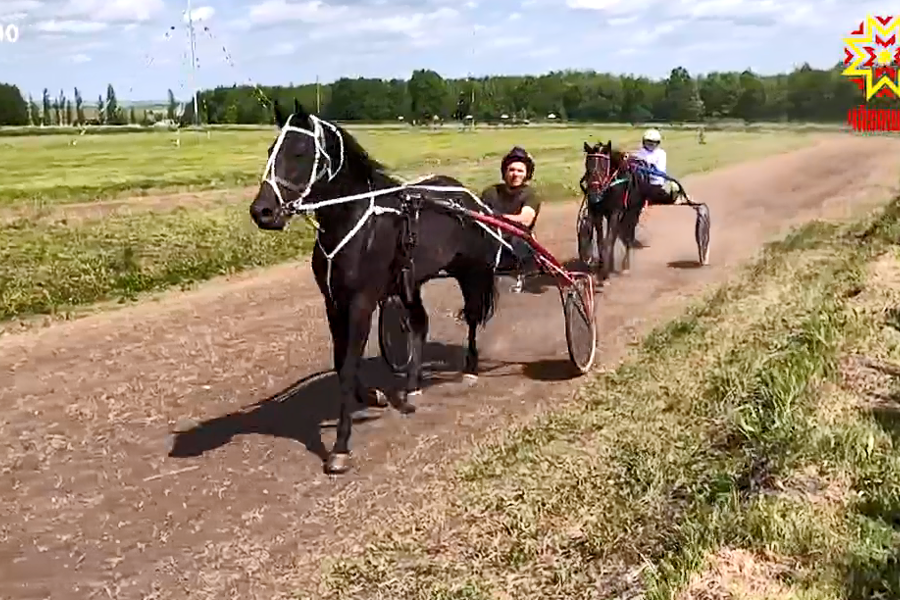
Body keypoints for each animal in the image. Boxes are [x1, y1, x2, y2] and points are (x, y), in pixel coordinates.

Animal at [250, 98, 502, 474]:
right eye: (270, 149)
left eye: (298, 152)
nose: (262, 211)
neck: (351, 221)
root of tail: (466, 197)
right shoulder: (333, 301)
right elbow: (342, 361)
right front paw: (373, 395)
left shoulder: (362, 301)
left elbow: (347, 366)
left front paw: (340, 447)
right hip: (411, 280)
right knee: (419, 324)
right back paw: (410, 390)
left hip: (470, 270)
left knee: (472, 315)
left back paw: (469, 369)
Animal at [580, 141, 644, 284]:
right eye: (587, 165)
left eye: (604, 166)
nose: (594, 193)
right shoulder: (597, 213)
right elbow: (601, 241)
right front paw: (603, 267)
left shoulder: (616, 213)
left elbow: (609, 241)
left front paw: (604, 274)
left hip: (633, 213)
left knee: (629, 236)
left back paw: (625, 266)